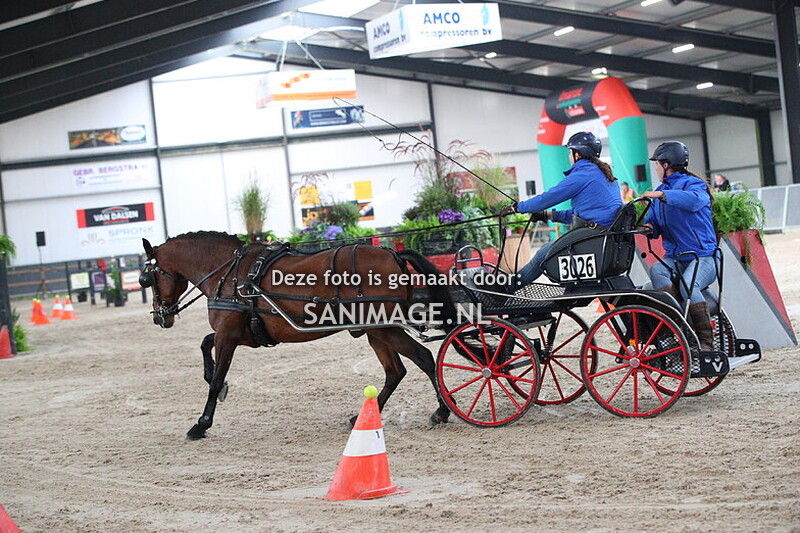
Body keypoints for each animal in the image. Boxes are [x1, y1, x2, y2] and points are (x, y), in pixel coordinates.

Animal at [139, 232, 456, 440]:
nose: (160, 316)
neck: (229, 274)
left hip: (383, 327)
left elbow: (216, 379)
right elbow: (205, 347)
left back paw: (442, 412)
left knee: (424, 358)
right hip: (376, 331)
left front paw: (201, 424)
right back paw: (362, 417)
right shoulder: (237, 334)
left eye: (147, 279)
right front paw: (215, 386)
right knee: (396, 371)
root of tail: (393, 254)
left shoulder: (227, 336)